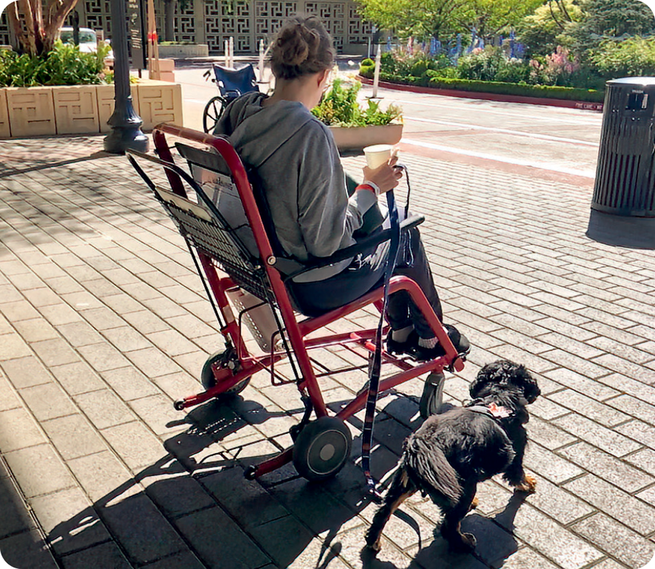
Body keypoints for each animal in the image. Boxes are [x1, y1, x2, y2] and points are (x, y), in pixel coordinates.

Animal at [366, 362, 540, 552]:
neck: (499, 394)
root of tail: (423, 443)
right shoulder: (517, 451)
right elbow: (518, 474)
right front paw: (528, 484)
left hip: (405, 481)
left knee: (384, 510)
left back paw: (373, 541)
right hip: (464, 487)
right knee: (449, 524)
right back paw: (464, 542)